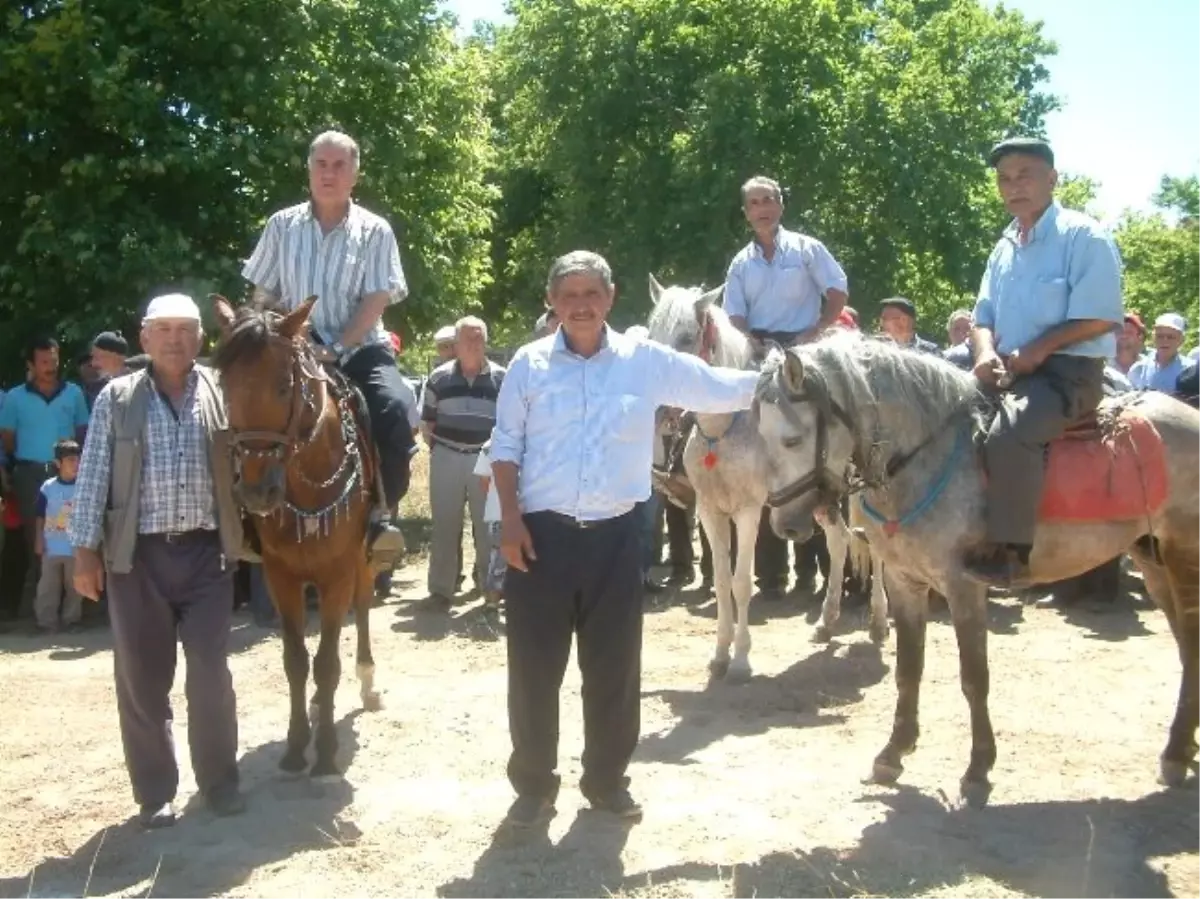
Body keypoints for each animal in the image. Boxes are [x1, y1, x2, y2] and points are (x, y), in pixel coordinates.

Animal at [213, 294, 381, 777]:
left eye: (285, 387)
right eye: (226, 386)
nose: (256, 491)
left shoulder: (336, 575)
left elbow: (326, 663)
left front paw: (323, 752)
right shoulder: (281, 576)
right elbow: (295, 662)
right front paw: (294, 746)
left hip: (362, 560)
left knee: (364, 604)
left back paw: (367, 681)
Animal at [643, 273, 888, 681]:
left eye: (687, 337)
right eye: (651, 332)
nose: (659, 408)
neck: (725, 430)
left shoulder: (748, 510)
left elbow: (741, 582)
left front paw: (741, 660)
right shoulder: (710, 510)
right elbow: (722, 579)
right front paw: (720, 655)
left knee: (875, 547)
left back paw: (880, 622)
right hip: (817, 500)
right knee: (839, 542)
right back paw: (826, 622)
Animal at [753, 333, 1200, 801]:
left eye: (792, 440)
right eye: (762, 436)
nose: (785, 526)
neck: (925, 459)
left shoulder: (962, 585)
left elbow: (973, 677)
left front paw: (978, 768)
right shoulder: (904, 582)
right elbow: (908, 669)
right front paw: (893, 753)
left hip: (1184, 556)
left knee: (1192, 646)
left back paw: (1175, 754)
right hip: (1153, 560)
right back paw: (1184, 747)